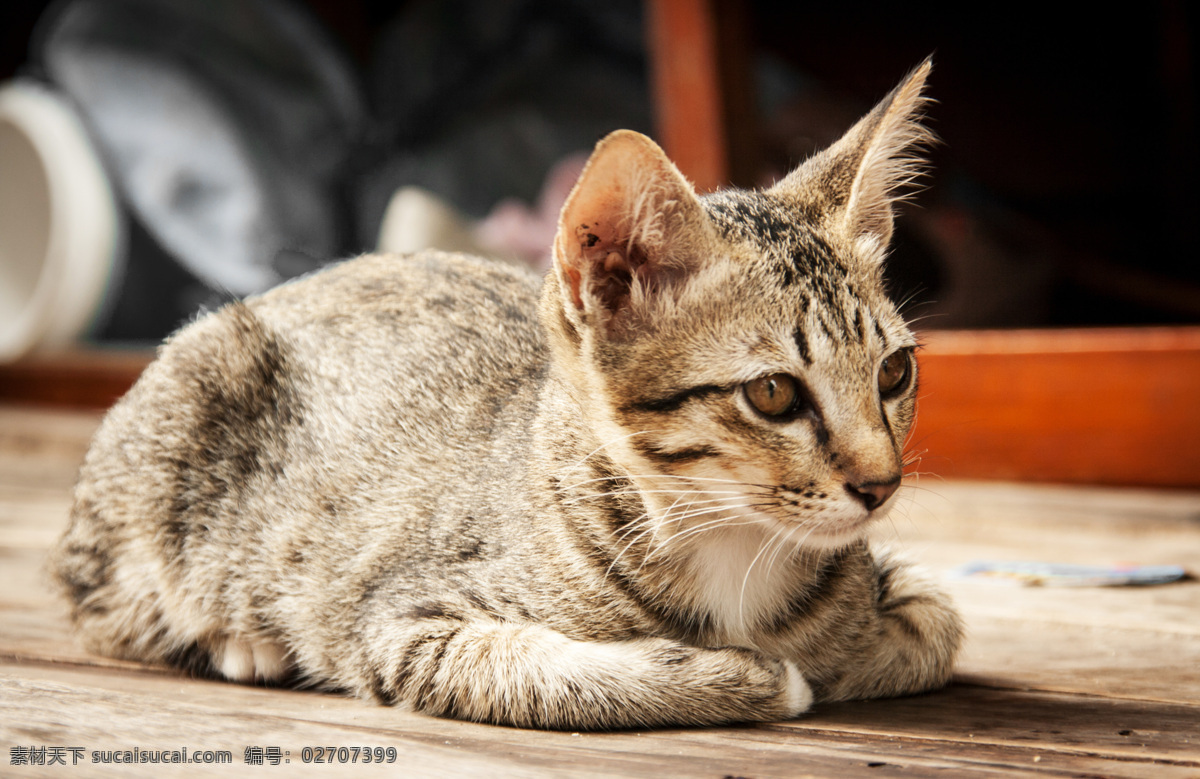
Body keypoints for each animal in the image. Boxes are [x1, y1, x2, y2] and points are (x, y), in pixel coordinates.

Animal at [51, 60, 960, 729]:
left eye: (893, 373)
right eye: (773, 393)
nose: (881, 485)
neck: (729, 546)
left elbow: (937, 621)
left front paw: (851, 643)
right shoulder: (397, 622)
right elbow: (534, 665)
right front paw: (754, 677)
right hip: (193, 402)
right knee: (106, 602)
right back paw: (244, 640)